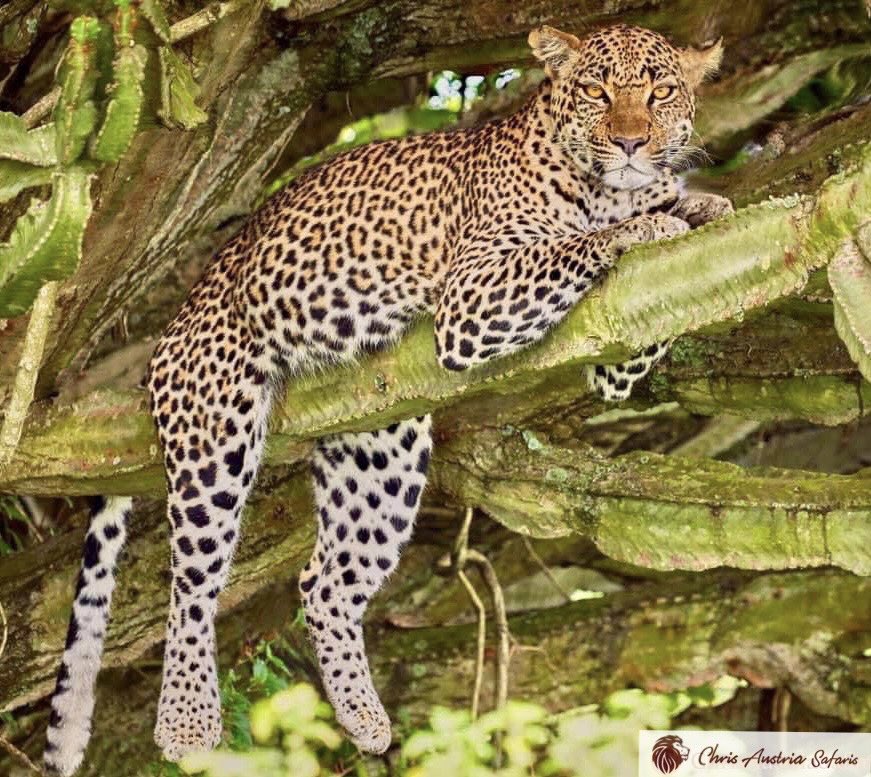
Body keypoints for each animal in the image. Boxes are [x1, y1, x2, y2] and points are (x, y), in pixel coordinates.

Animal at [44, 23, 733, 775]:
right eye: (596, 92)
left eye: (660, 92)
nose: (633, 142)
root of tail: (172, 326)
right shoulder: (473, 295)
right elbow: (576, 244)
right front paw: (645, 225)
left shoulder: (610, 353)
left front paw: (697, 203)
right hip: (214, 426)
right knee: (191, 582)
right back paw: (187, 722)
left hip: (381, 449)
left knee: (323, 583)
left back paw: (364, 718)